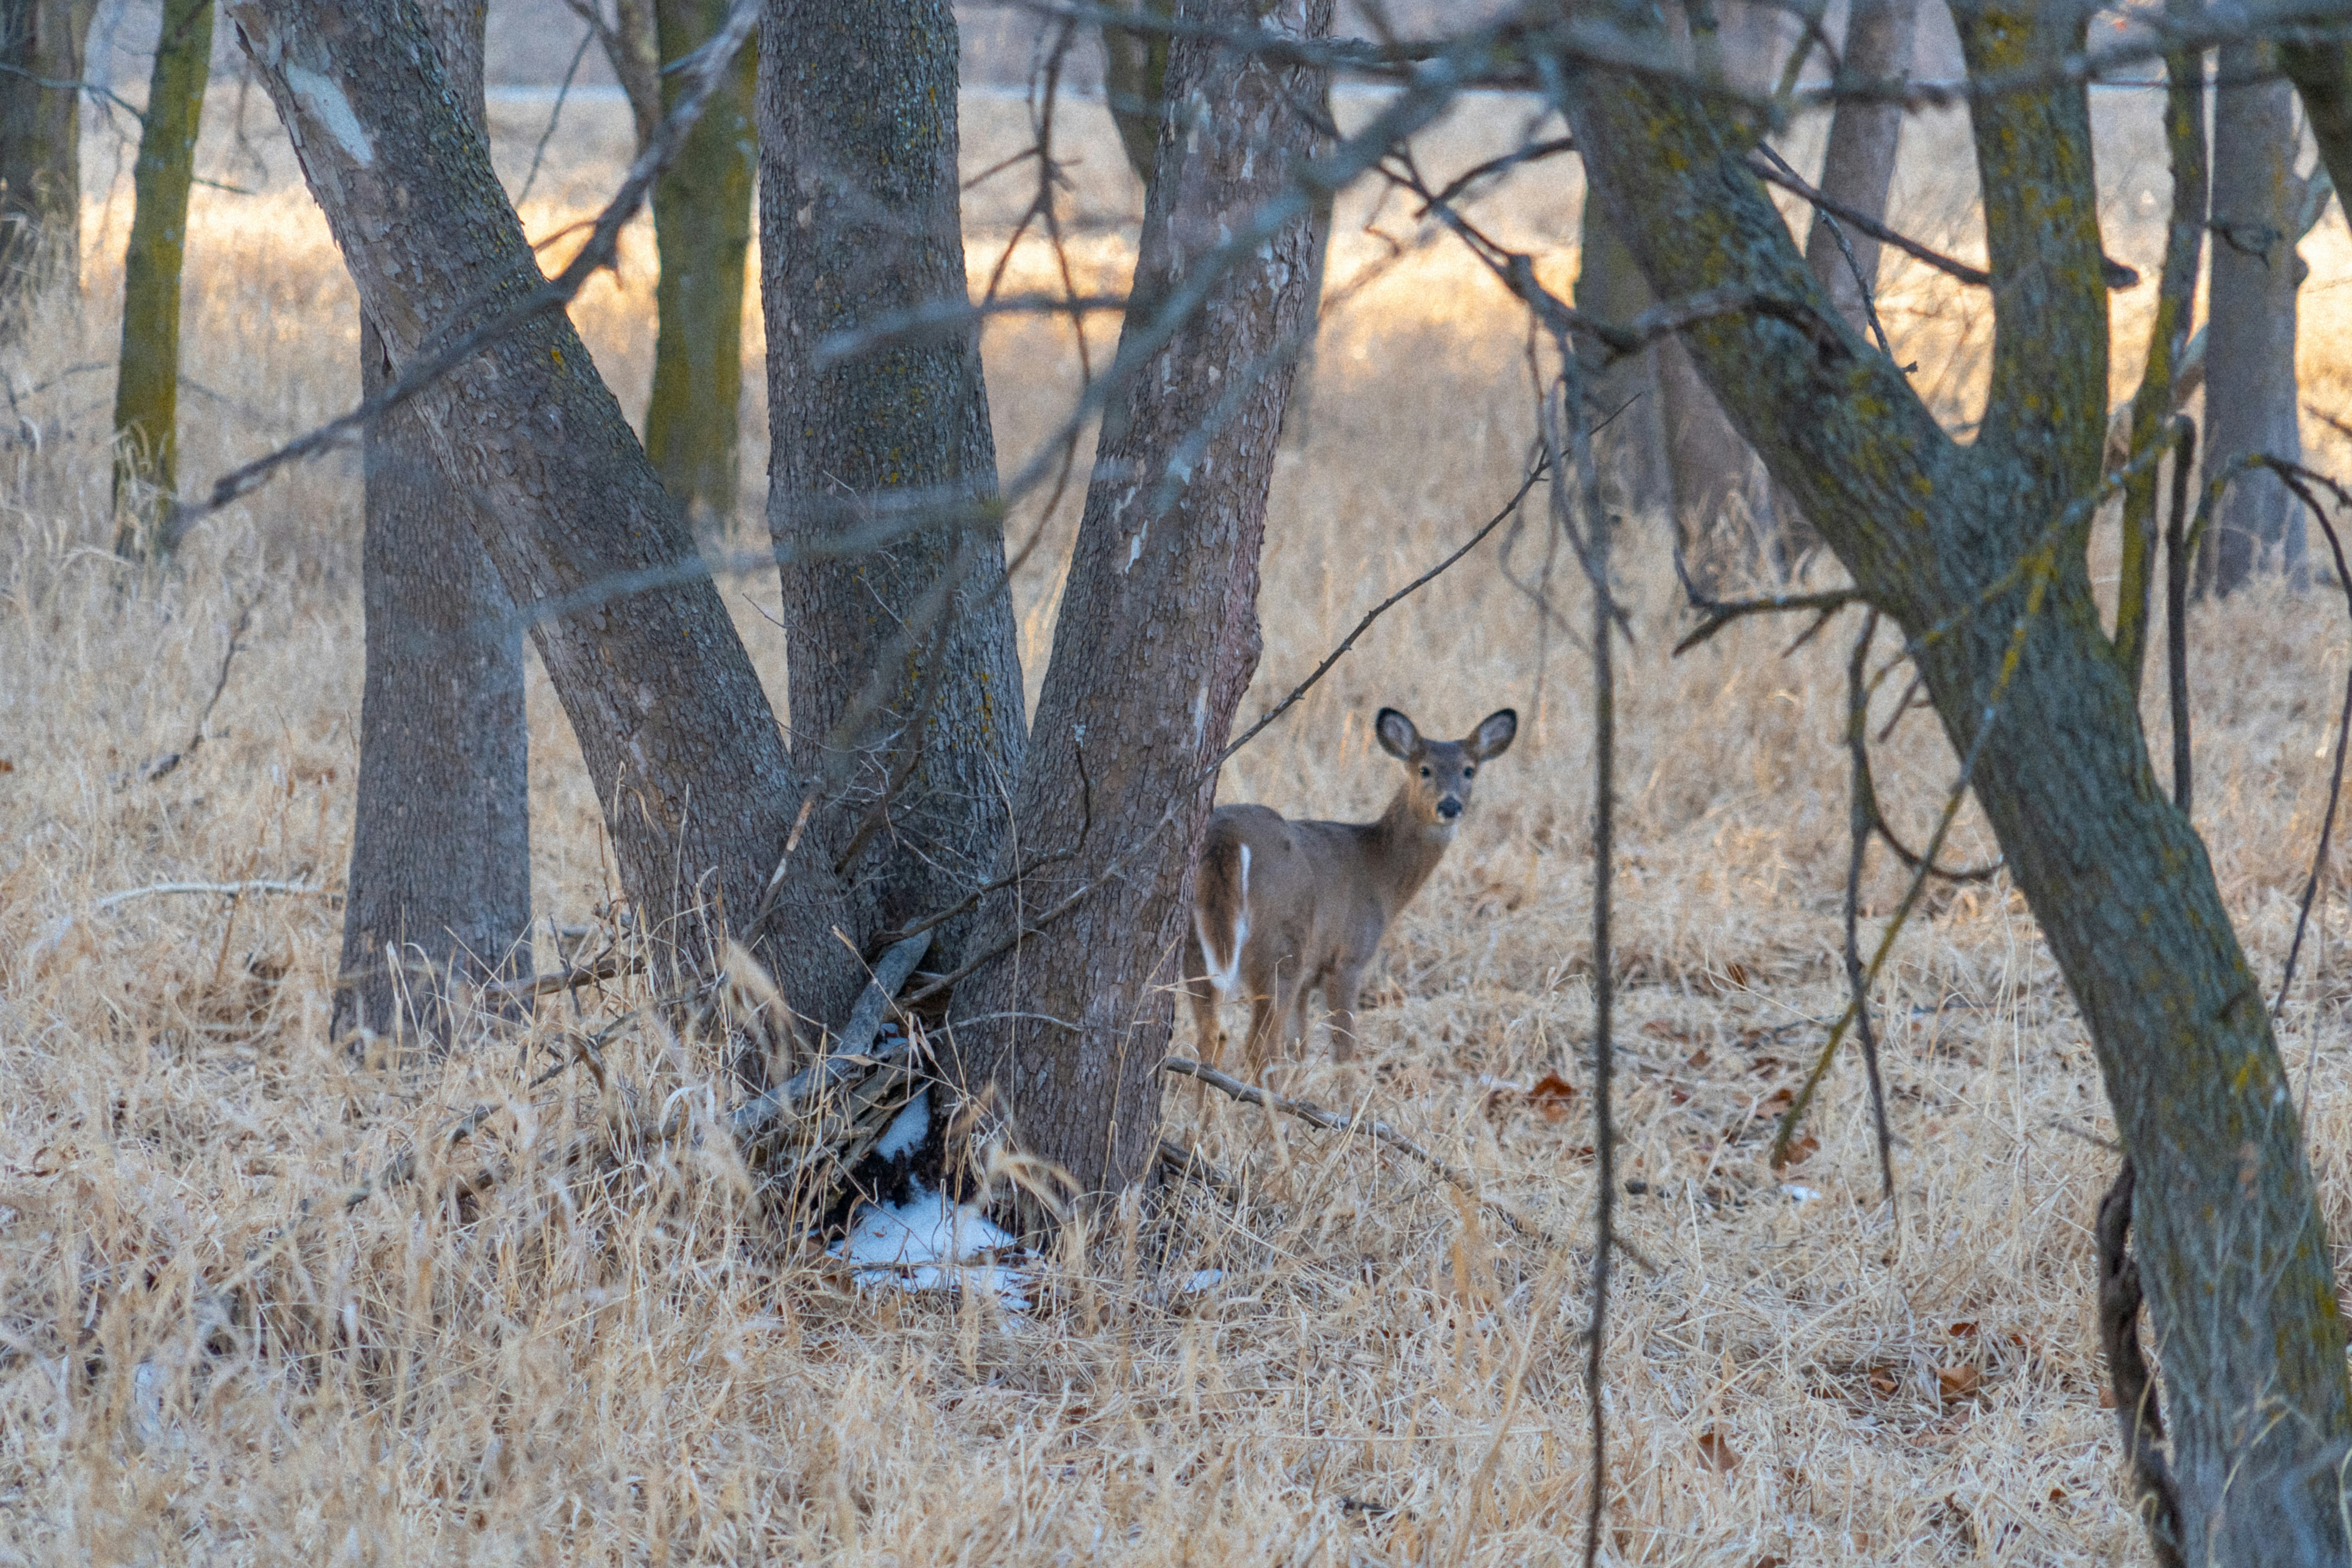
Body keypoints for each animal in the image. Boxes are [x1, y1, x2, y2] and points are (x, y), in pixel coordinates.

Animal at [1183, 706, 1518, 1074]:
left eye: (1469, 770)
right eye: (1425, 769)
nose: (1450, 806)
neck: (1378, 871)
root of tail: (1227, 837)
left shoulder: (1309, 976)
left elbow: (1298, 1046)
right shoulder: (1348, 957)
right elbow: (1343, 1049)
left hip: (1198, 946)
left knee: (1211, 1037)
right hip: (1281, 946)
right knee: (1259, 1045)